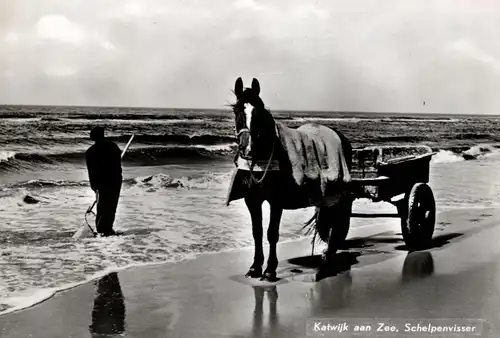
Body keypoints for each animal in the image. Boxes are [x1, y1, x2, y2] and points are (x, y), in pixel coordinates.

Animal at [229, 78, 354, 282]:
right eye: (236, 109)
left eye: (259, 112)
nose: (248, 149)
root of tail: (340, 136)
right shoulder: (252, 200)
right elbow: (257, 232)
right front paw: (255, 267)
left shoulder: (276, 201)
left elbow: (272, 233)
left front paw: (270, 270)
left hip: (339, 191)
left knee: (338, 223)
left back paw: (327, 263)